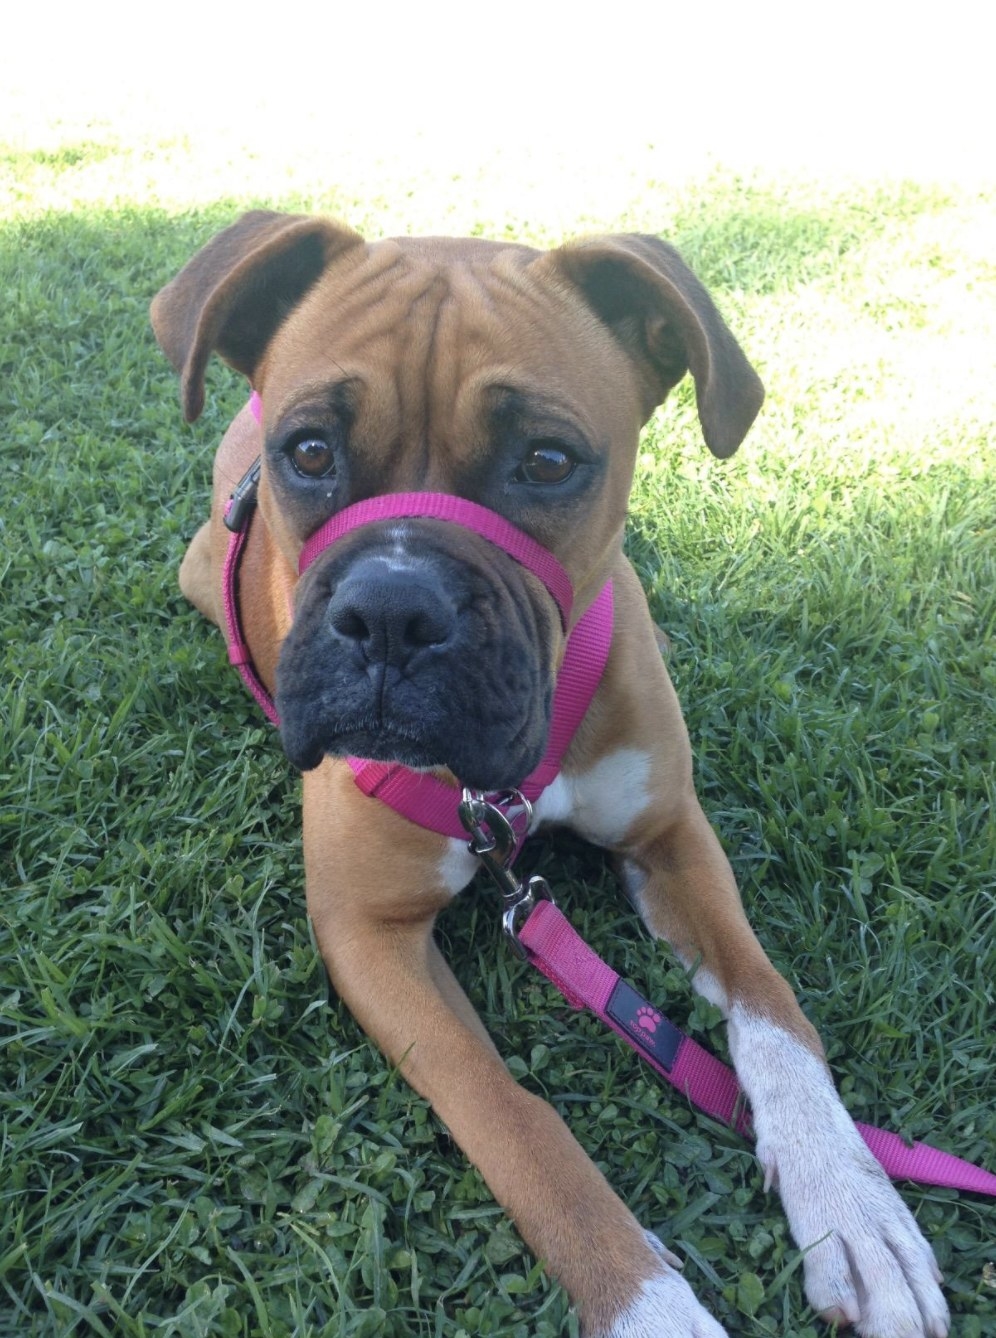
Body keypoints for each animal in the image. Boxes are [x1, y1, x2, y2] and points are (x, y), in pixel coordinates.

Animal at [149, 211, 947, 1338]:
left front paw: (853, 1203)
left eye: (548, 460)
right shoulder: (370, 934)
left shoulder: (672, 837)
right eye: (311, 452)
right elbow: (517, 1119)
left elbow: (772, 1007)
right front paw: (651, 1306)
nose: (392, 611)